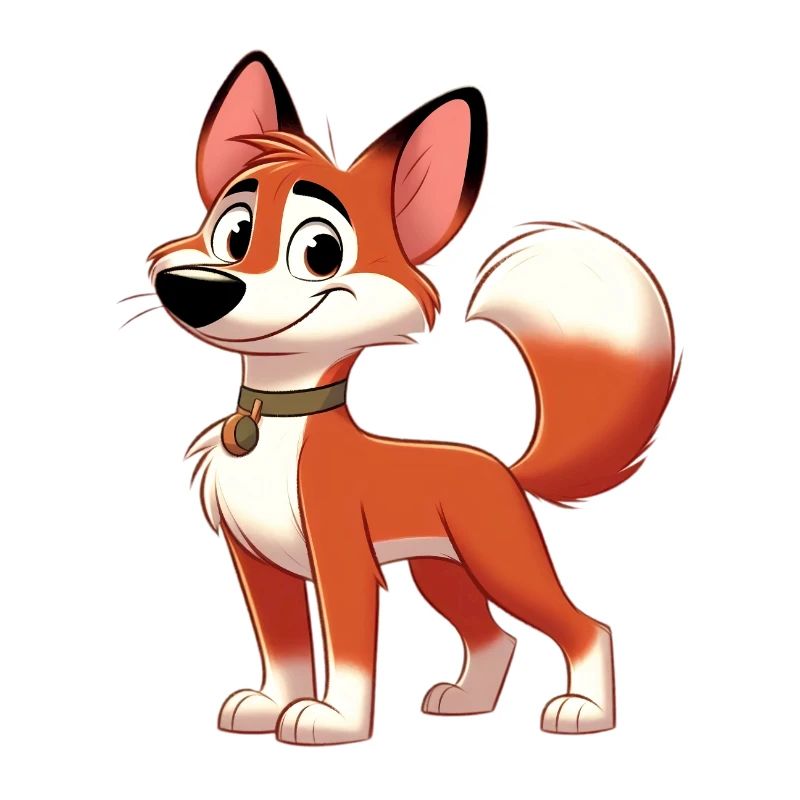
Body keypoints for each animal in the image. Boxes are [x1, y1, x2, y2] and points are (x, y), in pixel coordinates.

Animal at [144, 51, 676, 746]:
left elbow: (348, 649)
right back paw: (468, 702)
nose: (194, 288)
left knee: (585, 626)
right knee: (495, 638)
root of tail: (503, 468)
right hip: (442, 572)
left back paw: (585, 711)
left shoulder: (342, 558)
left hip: (500, 561)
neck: (276, 422)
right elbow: (283, 650)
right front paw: (267, 706)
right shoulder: (257, 564)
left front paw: (333, 720)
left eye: (320, 250)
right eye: (232, 232)